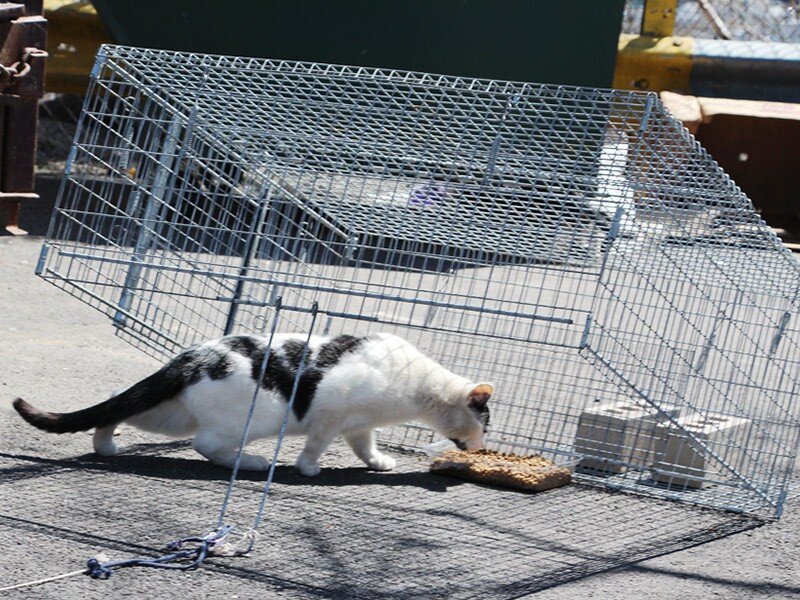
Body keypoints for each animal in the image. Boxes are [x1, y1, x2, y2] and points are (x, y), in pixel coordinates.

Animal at [12, 330, 490, 476]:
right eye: (486, 424)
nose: (484, 447)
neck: (417, 388)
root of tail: (192, 357)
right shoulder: (331, 413)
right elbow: (317, 444)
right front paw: (308, 468)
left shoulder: (358, 424)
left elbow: (364, 446)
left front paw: (378, 462)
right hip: (258, 416)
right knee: (206, 445)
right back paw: (253, 463)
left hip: (167, 415)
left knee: (116, 402)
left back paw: (106, 445)